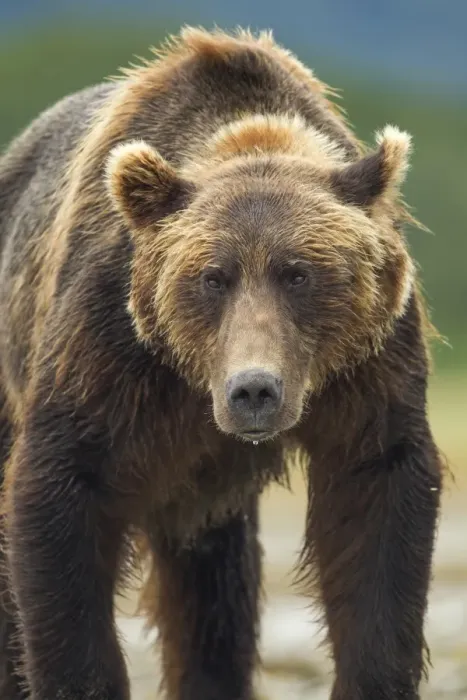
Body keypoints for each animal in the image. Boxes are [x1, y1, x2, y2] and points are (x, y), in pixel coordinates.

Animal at [0, 25, 442, 700]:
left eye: (298, 274)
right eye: (212, 277)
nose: (253, 389)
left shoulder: (370, 363)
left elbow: (376, 499)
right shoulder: (108, 342)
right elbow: (64, 489)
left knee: (215, 587)